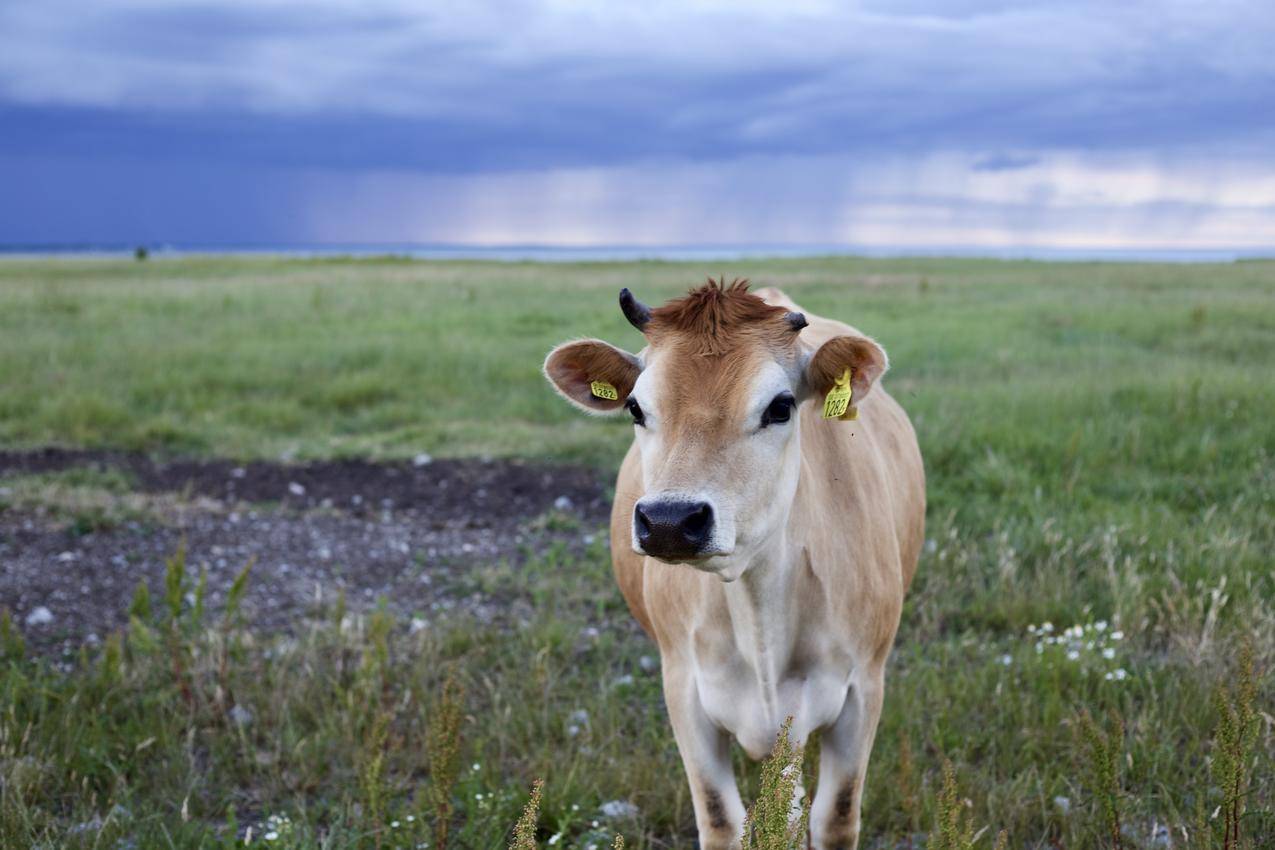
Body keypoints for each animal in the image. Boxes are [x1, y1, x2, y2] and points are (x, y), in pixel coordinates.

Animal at [540, 280, 928, 850]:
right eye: (635, 407)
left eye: (781, 406)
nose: (669, 520)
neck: (758, 607)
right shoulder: (684, 689)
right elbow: (722, 819)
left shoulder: (863, 689)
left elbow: (834, 817)